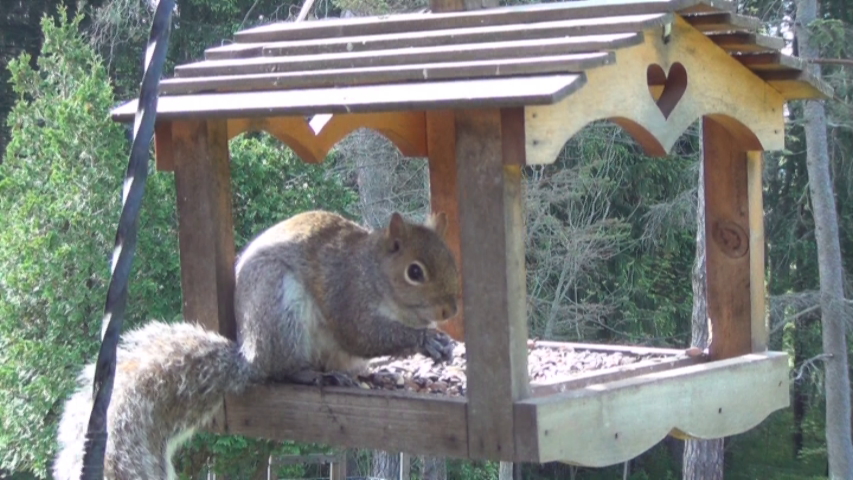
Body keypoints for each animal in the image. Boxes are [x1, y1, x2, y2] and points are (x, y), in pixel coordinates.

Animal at [53, 211, 460, 480]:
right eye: (415, 272)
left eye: (451, 258)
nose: (451, 309)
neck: (373, 271)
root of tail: (249, 355)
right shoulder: (348, 295)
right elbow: (361, 333)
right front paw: (425, 341)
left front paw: (443, 343)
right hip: (281, 311)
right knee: (282, 370)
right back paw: (313, 376)